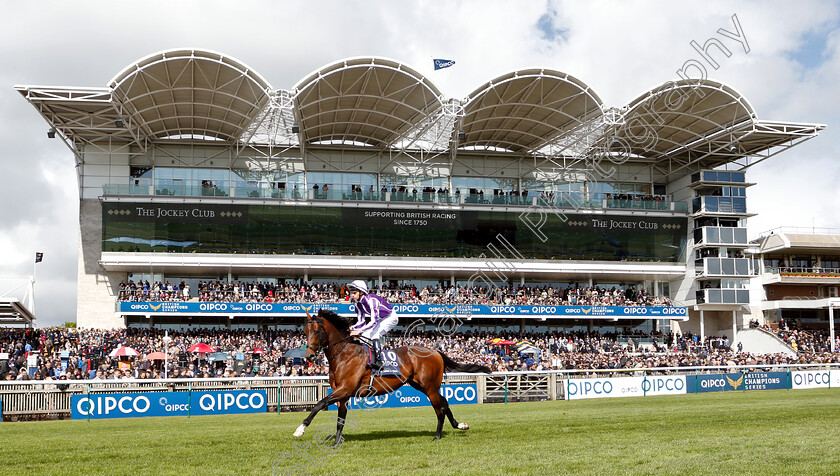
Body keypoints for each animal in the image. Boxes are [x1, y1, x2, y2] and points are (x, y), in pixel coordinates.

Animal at [296, 310, 492, 440]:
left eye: (317, 331)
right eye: (305, 332)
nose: (309, 356)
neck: (344, 354)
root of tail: (435, 351)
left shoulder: (345, 389)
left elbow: (319, 404)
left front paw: (300, 428)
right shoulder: (342, 393)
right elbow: (340, 419)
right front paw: (337, 442)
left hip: (429, 386)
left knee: (439, 407)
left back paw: (437, 436)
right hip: (421, 385)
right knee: (443, 401)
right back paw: (459, 425)